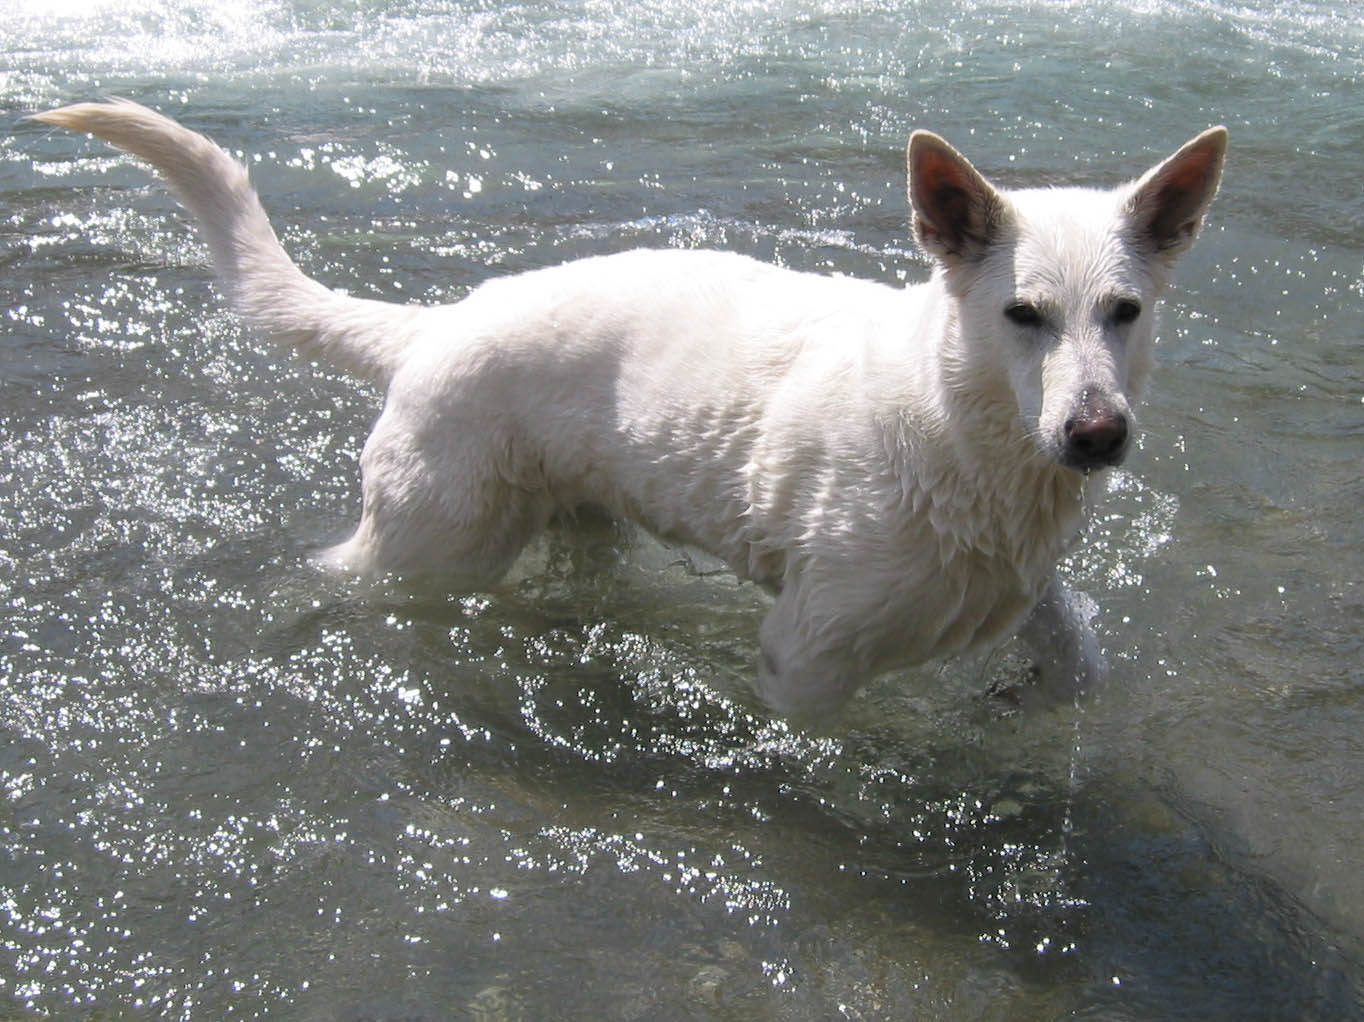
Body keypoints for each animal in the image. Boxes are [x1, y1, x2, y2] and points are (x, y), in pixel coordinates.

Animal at [32, 101, 1227, 709]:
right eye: (1023, 314)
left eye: (1123, 311)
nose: (1096, 435)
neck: (959, 420)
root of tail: (433, 323)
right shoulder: (807, 652)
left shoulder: (1023, 587)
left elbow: (1073, 660)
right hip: (433, 545)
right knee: (343, 574)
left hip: (574, 523)